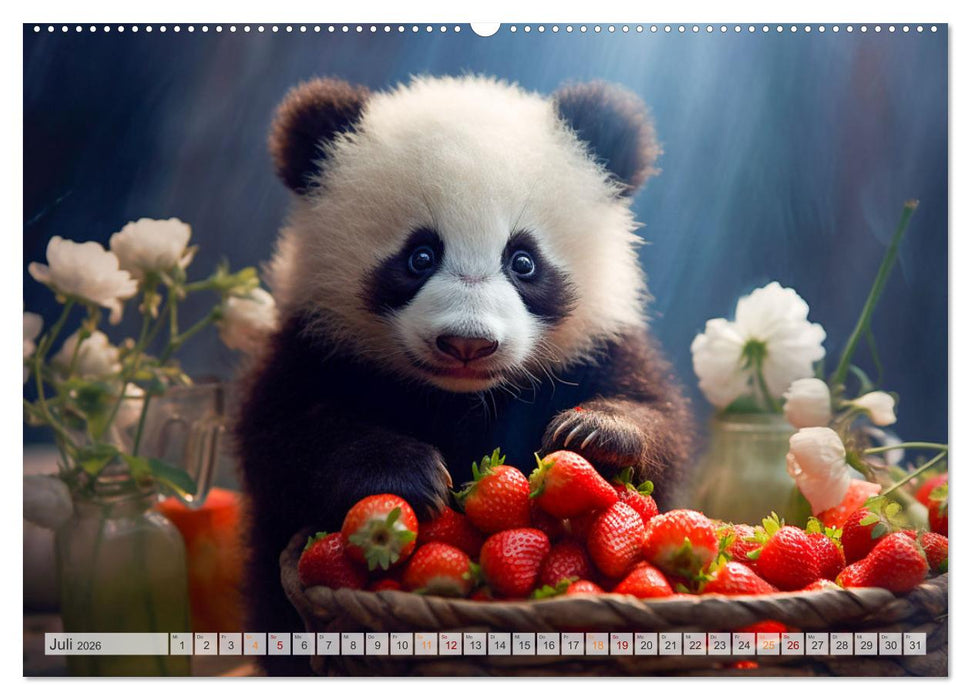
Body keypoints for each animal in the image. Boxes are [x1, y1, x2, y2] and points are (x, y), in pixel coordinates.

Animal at [236, 75, 693, 674]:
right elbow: (285, 435)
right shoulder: (315, 345)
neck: (462, 396)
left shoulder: (601, 344)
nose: (467, 343)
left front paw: (594, 434)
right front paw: (407, 475)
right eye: (420, 256)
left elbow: (659, 422)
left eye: (523, 261)